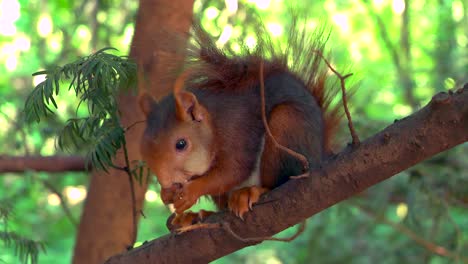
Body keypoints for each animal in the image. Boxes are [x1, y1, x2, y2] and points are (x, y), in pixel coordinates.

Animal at [138, 21, 340, 228]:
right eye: (142, 149)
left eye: (181, 144)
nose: (166, 182)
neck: (215, 123)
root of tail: (319, 154)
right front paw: (167, 193)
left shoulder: (237, 131)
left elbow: (233, 171)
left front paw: (190, 191)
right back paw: (196, 216)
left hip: (287, 126)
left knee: (277, 181)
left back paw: (251, 192)